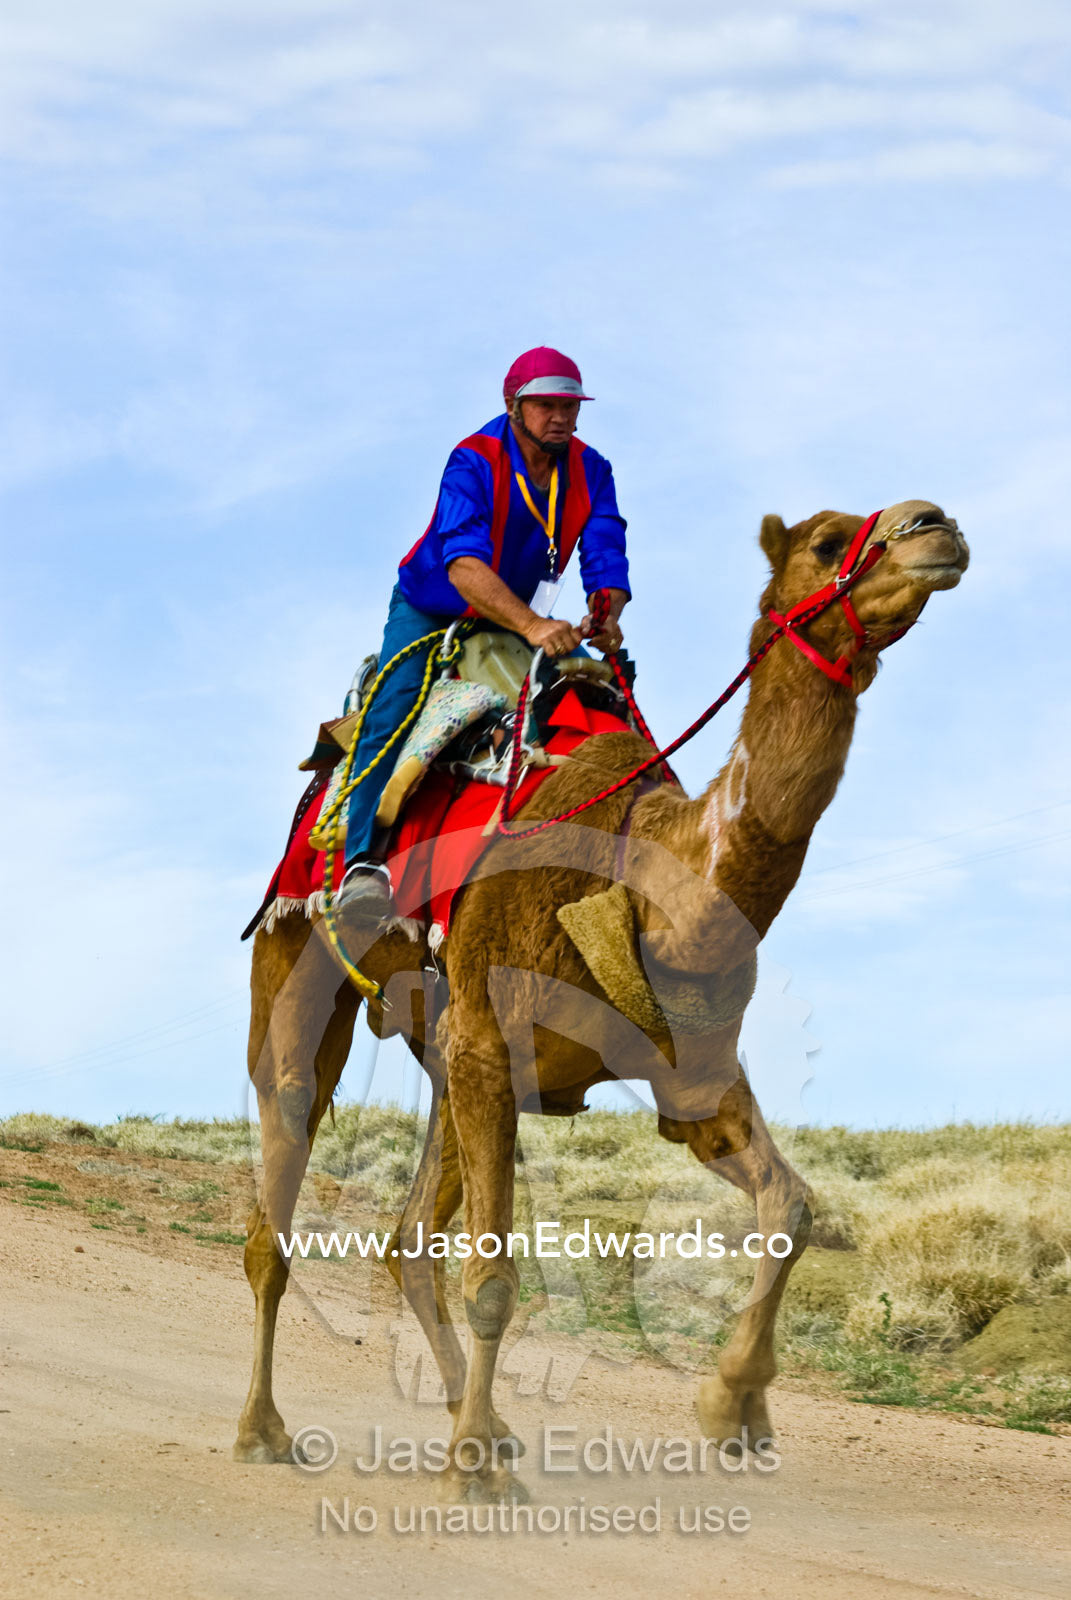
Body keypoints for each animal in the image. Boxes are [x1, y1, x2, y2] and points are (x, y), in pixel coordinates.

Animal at [234, 500, 968, 1498]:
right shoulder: (490, 1039)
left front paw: (733, 1405)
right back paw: (265, 1428)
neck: (647, 883)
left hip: (444, 1044)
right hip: (299, 961)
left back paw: (489, 1423)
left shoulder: (686, 1078)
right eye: (826, 541)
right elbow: (495, 1281)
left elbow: (790, 1205)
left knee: (409, 1241)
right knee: (284, 1162)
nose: (938, 526)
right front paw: (472, 1470)